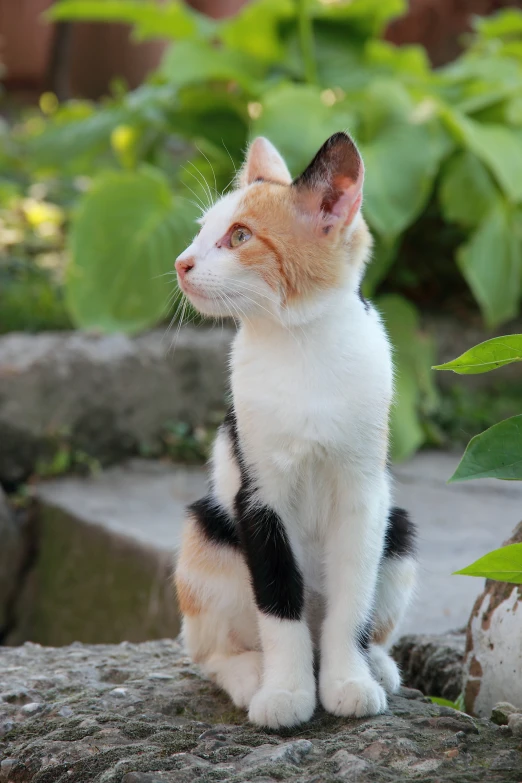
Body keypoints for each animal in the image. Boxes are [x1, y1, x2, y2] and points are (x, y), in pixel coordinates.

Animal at [173, 130, 416, 728]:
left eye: (239, 237)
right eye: (202, 231)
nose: (182, 263)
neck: (301, 346)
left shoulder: (364, 494)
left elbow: (353, 598)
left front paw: (348, 681)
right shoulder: (259, 496)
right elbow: (278, 597)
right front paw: (285, 692)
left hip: (399, 530)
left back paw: (376, 664)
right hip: (206, 534)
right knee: (207, 652)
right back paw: (249, 673)